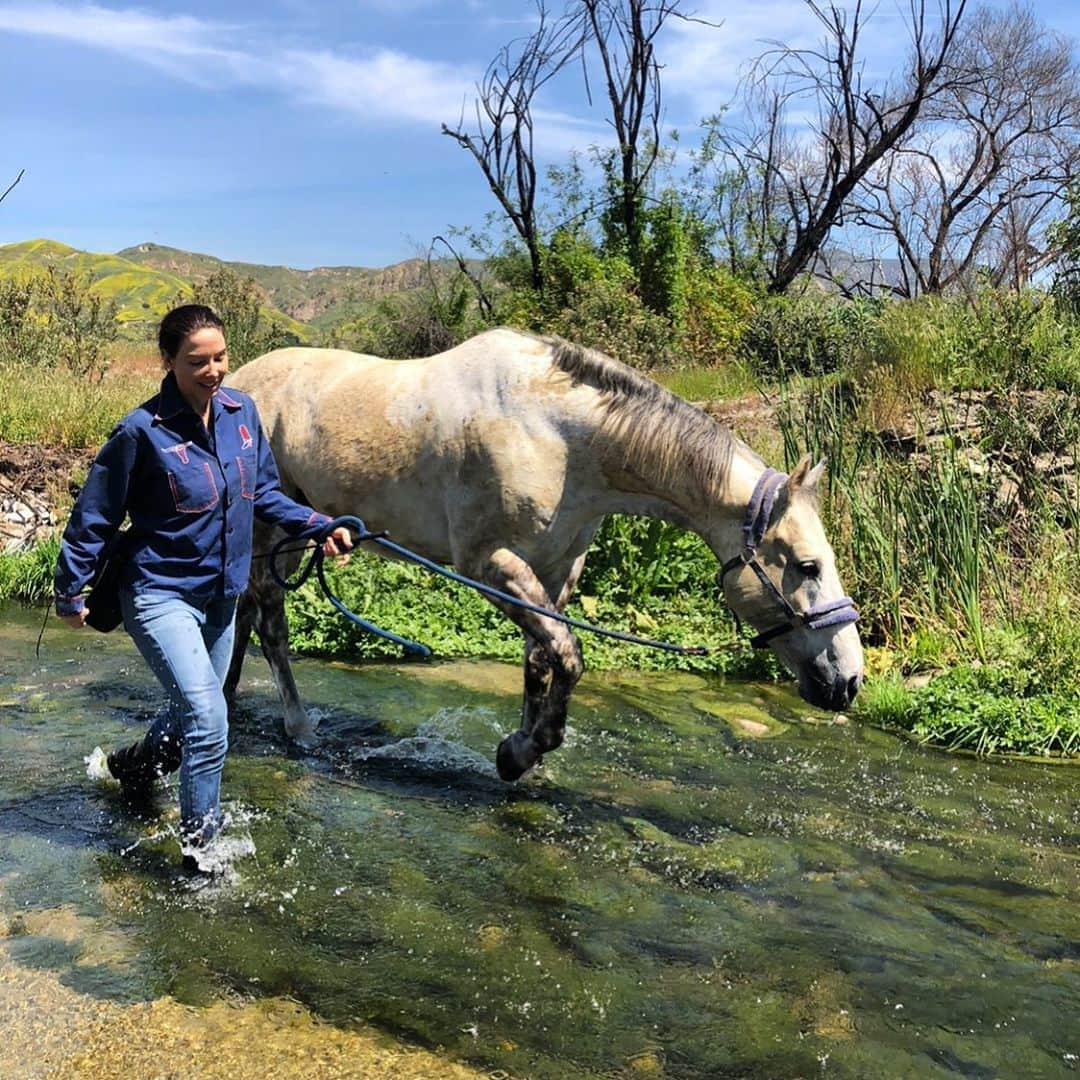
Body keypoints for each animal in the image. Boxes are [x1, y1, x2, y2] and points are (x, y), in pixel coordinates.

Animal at [223, 324, 864, 781]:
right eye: (806, 566)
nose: (849, 681)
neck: (560, 435)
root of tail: (239, 385)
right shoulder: (489, 566)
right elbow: (570, 654)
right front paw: (524, 751)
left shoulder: (556, 572)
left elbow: (541, 658)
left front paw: (521, 753)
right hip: (267, 532)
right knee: (272, 625)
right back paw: (299, 729)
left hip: (293, 535)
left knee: (246, 612)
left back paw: (228, 701)